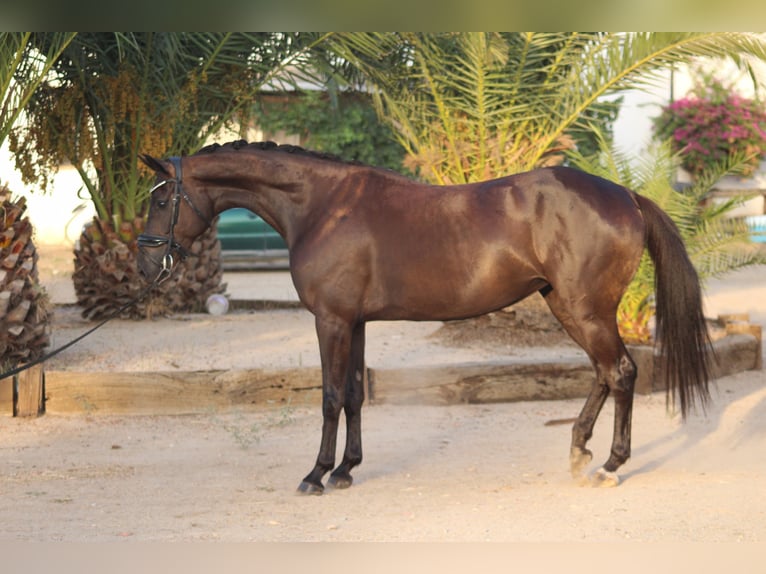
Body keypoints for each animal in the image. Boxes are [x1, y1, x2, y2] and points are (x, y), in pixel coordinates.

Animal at [137, 140, 712, 493]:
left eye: (162, 199)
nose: (145, 265)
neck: (324, 207)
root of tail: (625, 195)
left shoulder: (331, 320)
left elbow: (328, 397)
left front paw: (316, 475)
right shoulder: (355, 322)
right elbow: (353, 395)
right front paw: (346, 471)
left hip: (584, 310)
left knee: (620, 372)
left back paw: (610, 464)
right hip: (568, 306)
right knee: (605, 373)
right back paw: (579, 452)